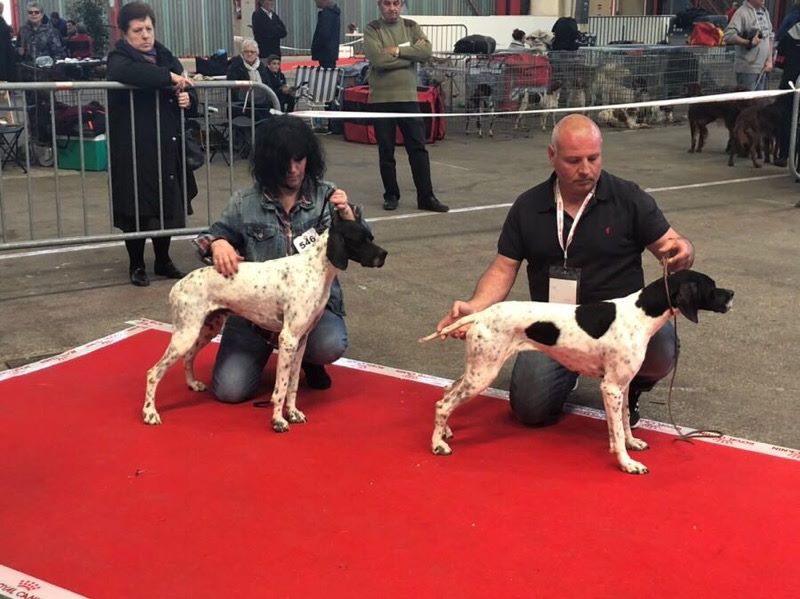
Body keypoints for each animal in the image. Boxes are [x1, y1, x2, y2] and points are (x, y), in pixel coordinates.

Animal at [143, 216, 388, 432]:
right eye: (361, 239)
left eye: (371, 237)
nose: (384, 254)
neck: (315, 269)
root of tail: (177, 286)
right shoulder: (288, 339)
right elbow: (281, 388)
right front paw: (278, 421)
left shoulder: (301, 341)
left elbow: (293, 384)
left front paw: (293, 413)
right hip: (186, 334)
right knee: (154, 372)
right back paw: (150, 413)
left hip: (205, 329)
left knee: (188, 357)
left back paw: (193, 385)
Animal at [422, 270, 736, 474]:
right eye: (711, 286)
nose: (732, 293)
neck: (640, 314)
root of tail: (482, 314)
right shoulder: (611, 387)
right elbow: (617, 431)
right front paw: (626, 463)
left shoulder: (622, 386)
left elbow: (622, 422)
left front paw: (631, 444)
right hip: (483, 373)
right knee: (443, 403)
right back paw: (438, 445)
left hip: (478, 368)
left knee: (446, 392)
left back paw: (446, 432)